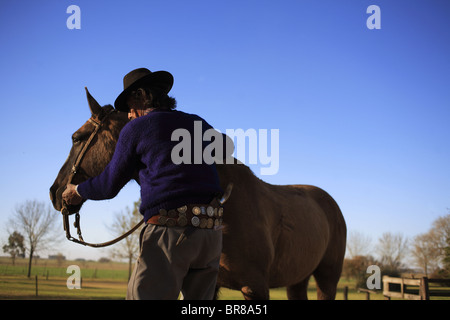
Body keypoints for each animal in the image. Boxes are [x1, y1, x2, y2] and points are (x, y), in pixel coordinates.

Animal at [49, 90, 346, 300]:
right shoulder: (209, 284)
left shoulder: (256, 289)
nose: (56, 192)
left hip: (327, 280)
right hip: (298, 281)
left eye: (77, 137)